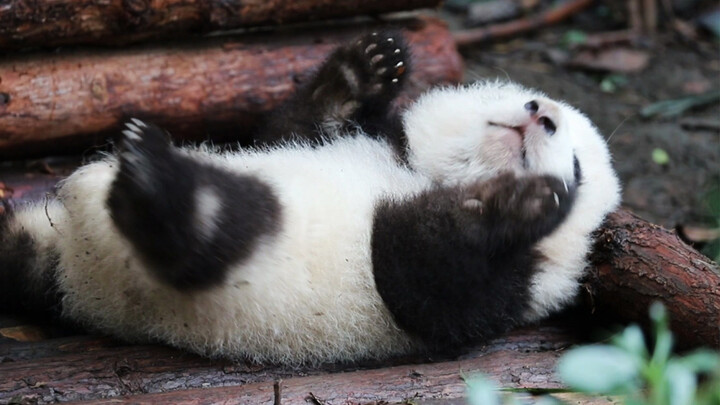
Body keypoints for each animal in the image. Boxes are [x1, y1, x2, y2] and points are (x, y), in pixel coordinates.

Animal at [0, 31, 620, 362]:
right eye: (528, 98)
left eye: (578, 167)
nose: (541, 117)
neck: (424, 175)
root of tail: (78, 276)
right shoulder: (372, 139)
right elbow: (290, 129)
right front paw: (366, 68)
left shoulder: (518, 288)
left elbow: (422, 279)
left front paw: (524, 202)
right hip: (45, 244)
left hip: (229, 260)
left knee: (210, 235)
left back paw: (155, 178)